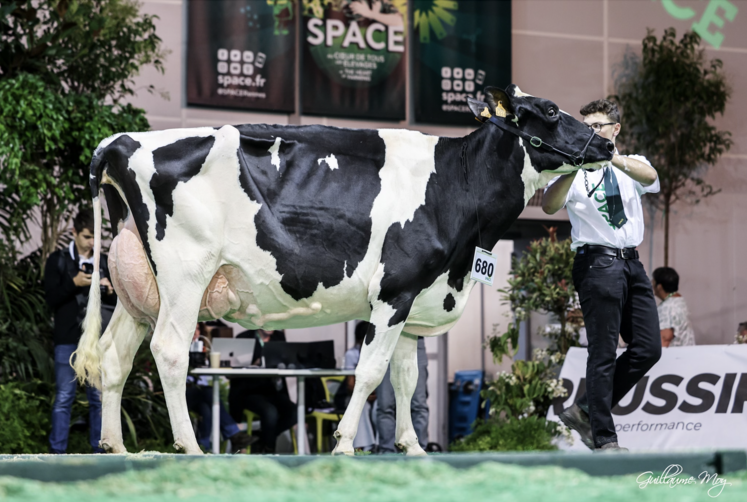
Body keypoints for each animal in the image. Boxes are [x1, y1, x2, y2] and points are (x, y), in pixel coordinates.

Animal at [74, 85, 612, 454]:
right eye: (549, 111)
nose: (606, 144)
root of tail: (120, 142)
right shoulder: (394, 290)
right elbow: (372, 373)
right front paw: (346, 442)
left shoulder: (415, 301)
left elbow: (407, 379)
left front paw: (412, 447)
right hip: (186, 272)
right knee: (169, 351)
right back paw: (190, 447)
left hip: (135, 289)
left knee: (115, 357)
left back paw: (115, 446)